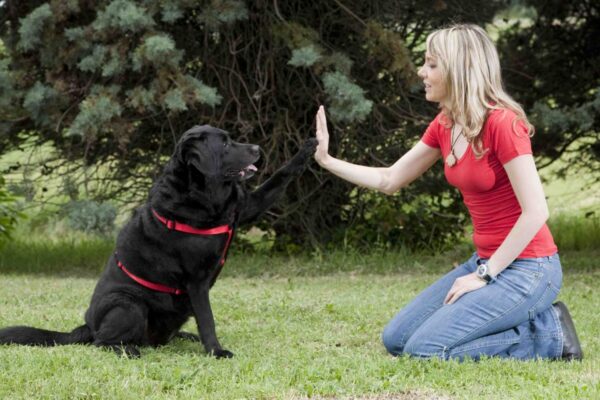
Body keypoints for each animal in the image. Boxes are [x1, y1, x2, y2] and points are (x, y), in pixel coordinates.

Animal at [0, 125, 318, 356]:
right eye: (226, 144)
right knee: (102, 342)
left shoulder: (246, 207)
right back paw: (128, 350)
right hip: (128, 305)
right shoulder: (196, 280)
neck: (205, 196)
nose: (257, 149)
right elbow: (208, 319)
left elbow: (280, 177)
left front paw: (308, 148)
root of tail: (87, 325)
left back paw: (182, 337)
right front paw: (216, 351)